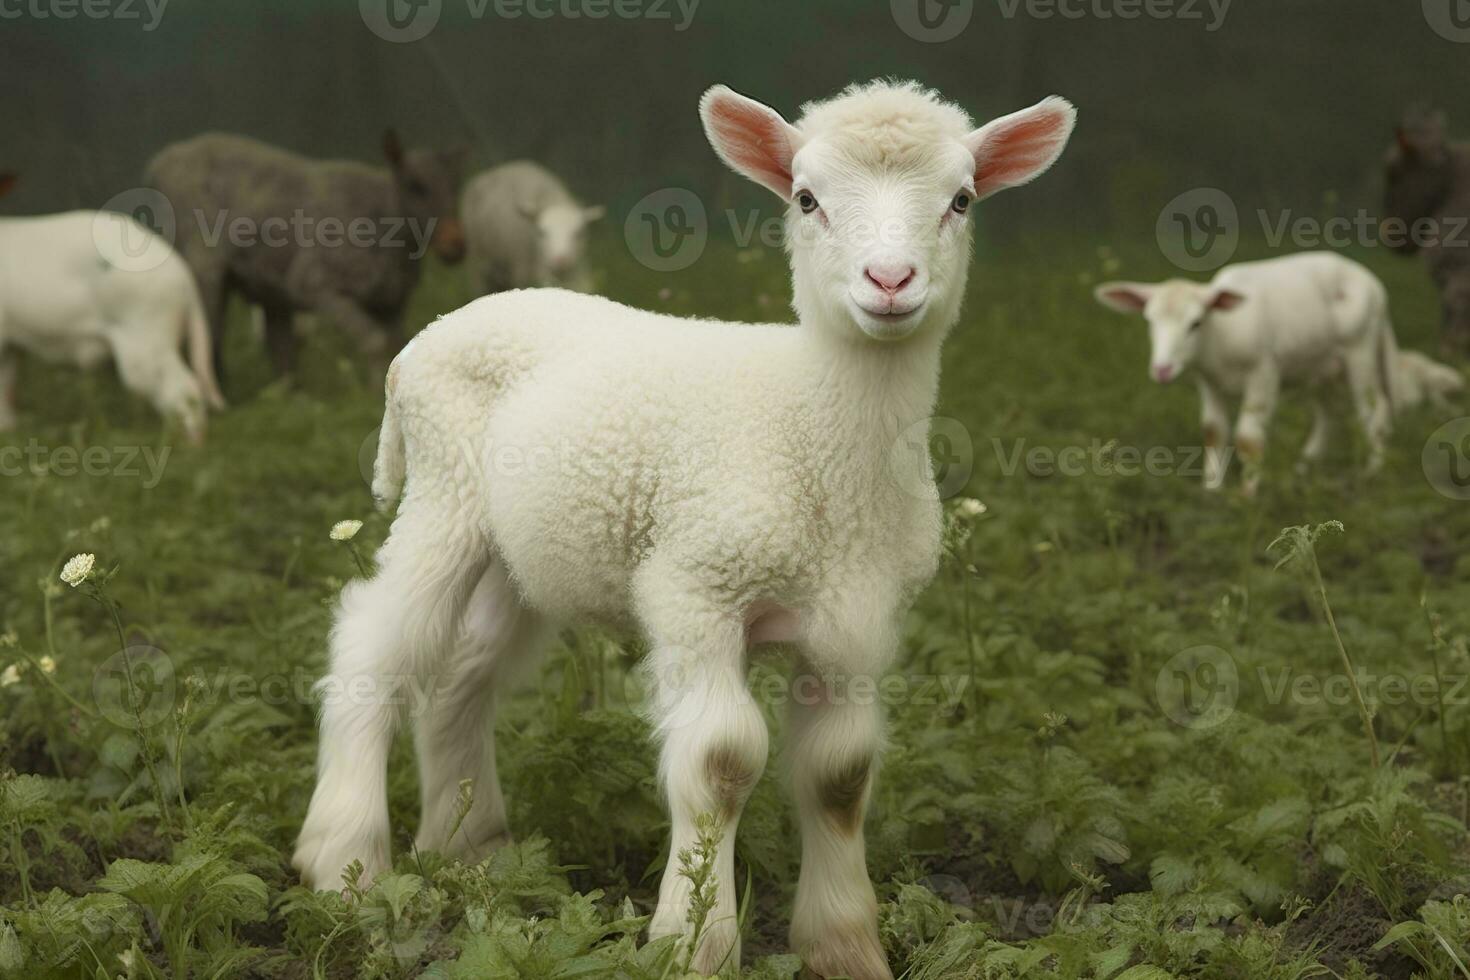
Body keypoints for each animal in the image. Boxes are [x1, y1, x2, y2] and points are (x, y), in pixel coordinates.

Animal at [0, 195, 223, 440]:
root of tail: (186, 280)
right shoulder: (11, 343)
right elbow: (7, 381)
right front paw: (8, 429)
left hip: (147, 341)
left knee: (184, 389)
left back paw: (189, 443)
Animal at [1105, 252, 1399, 493]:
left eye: (1196, 323)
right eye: (1149, 321)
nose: (1162, 369)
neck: (1220, 337)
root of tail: (1372, 282)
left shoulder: (1264, 373)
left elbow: (1248, 437)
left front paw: (1248, 493)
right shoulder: (1209, 383)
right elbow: (1213, 431)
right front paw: (1211, 488)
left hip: (1360, 350)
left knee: (1374, 409)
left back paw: (1372, 472)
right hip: (1320, 367)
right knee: (1329, 413)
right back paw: (1305, 465)